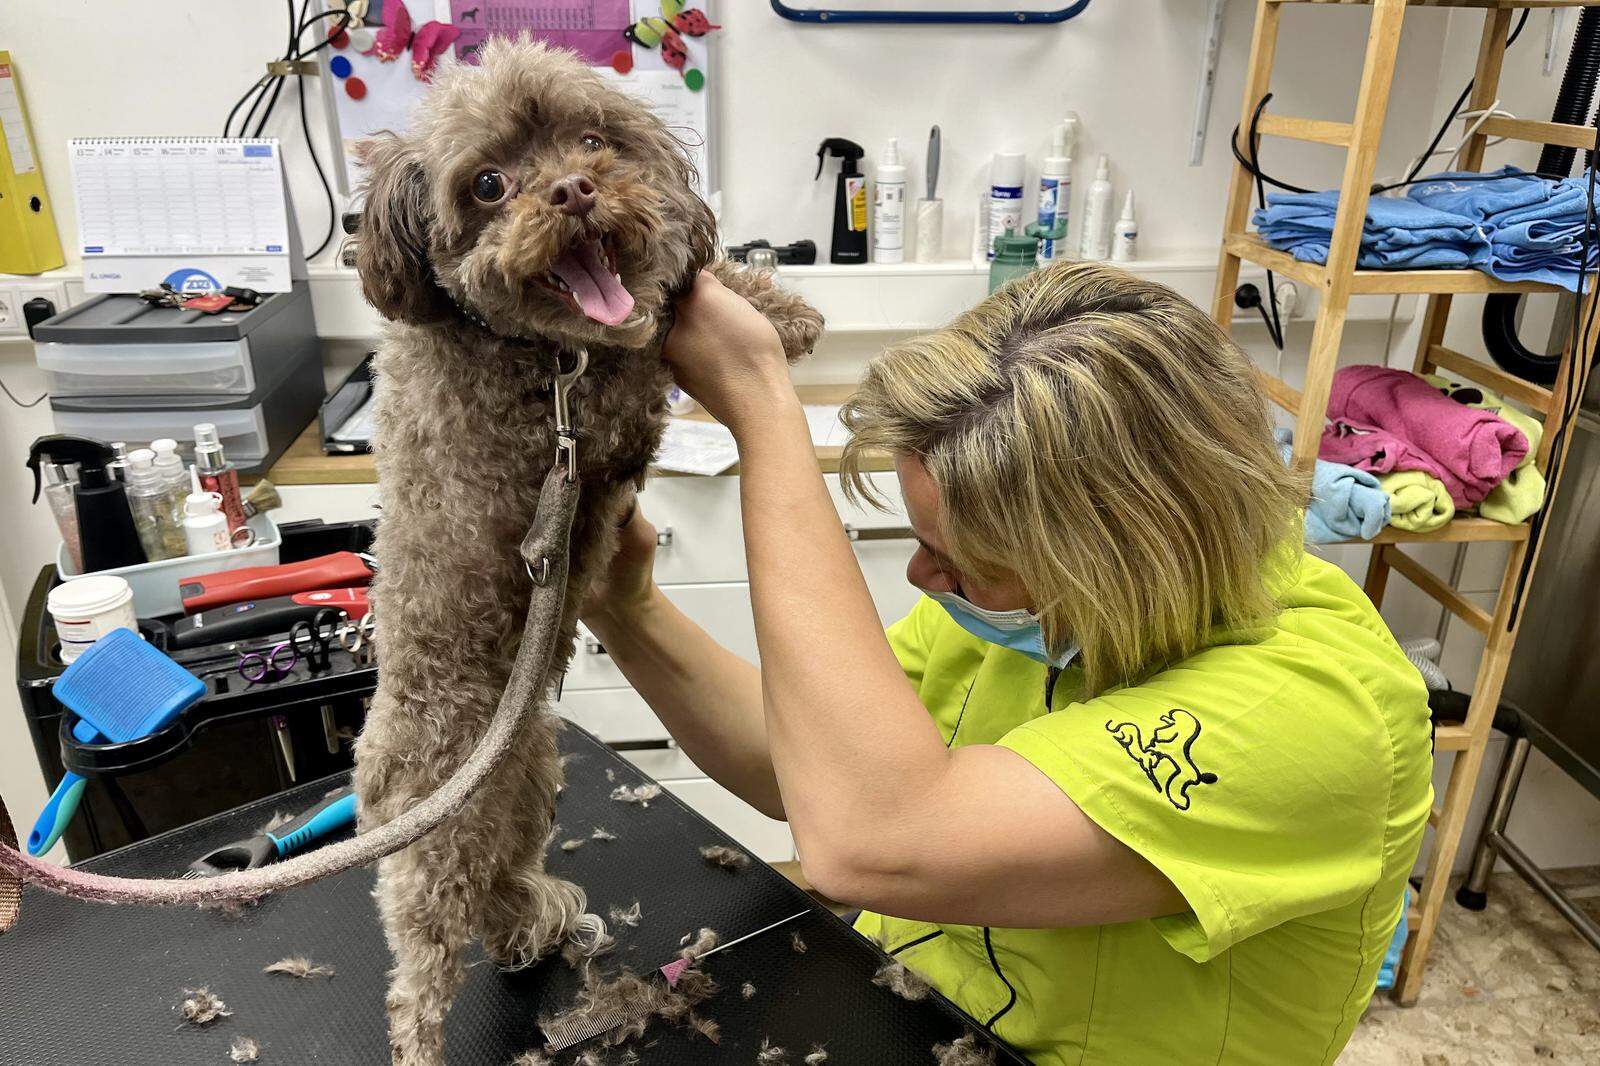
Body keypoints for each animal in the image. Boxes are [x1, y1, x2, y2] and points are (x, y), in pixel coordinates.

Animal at [355, 37, 819, 1056]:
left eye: (593, 140)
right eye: (489, 184)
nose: (572, 190)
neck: (535, 350)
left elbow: (678, 291)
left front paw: (772, 302)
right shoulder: (592, 412)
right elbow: (648, 341)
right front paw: (765, 315)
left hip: (529, 786)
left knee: (500, 893)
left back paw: (533, 928)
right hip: (437, 850)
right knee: (418, 976)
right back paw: (422, 1035)